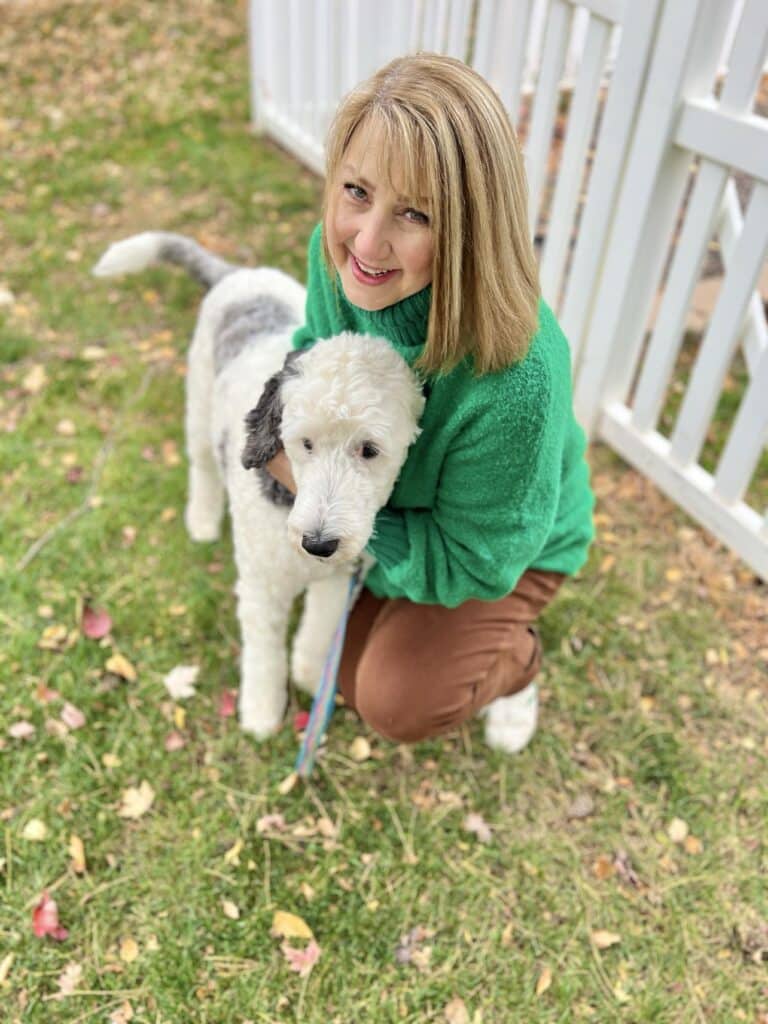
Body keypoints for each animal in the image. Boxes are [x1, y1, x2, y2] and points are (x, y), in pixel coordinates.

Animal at [94, 234, 428, 737]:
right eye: (304, 442)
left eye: (369, 449)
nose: (319, 543)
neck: (289, 502)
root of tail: (240, 274)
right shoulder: (262, 587)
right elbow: (264, 653)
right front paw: (262, 713)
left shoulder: (338, 579)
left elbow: (319, 628)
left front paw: (311, 673)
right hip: (199, 403)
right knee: (202, 464)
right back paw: (202, 520)